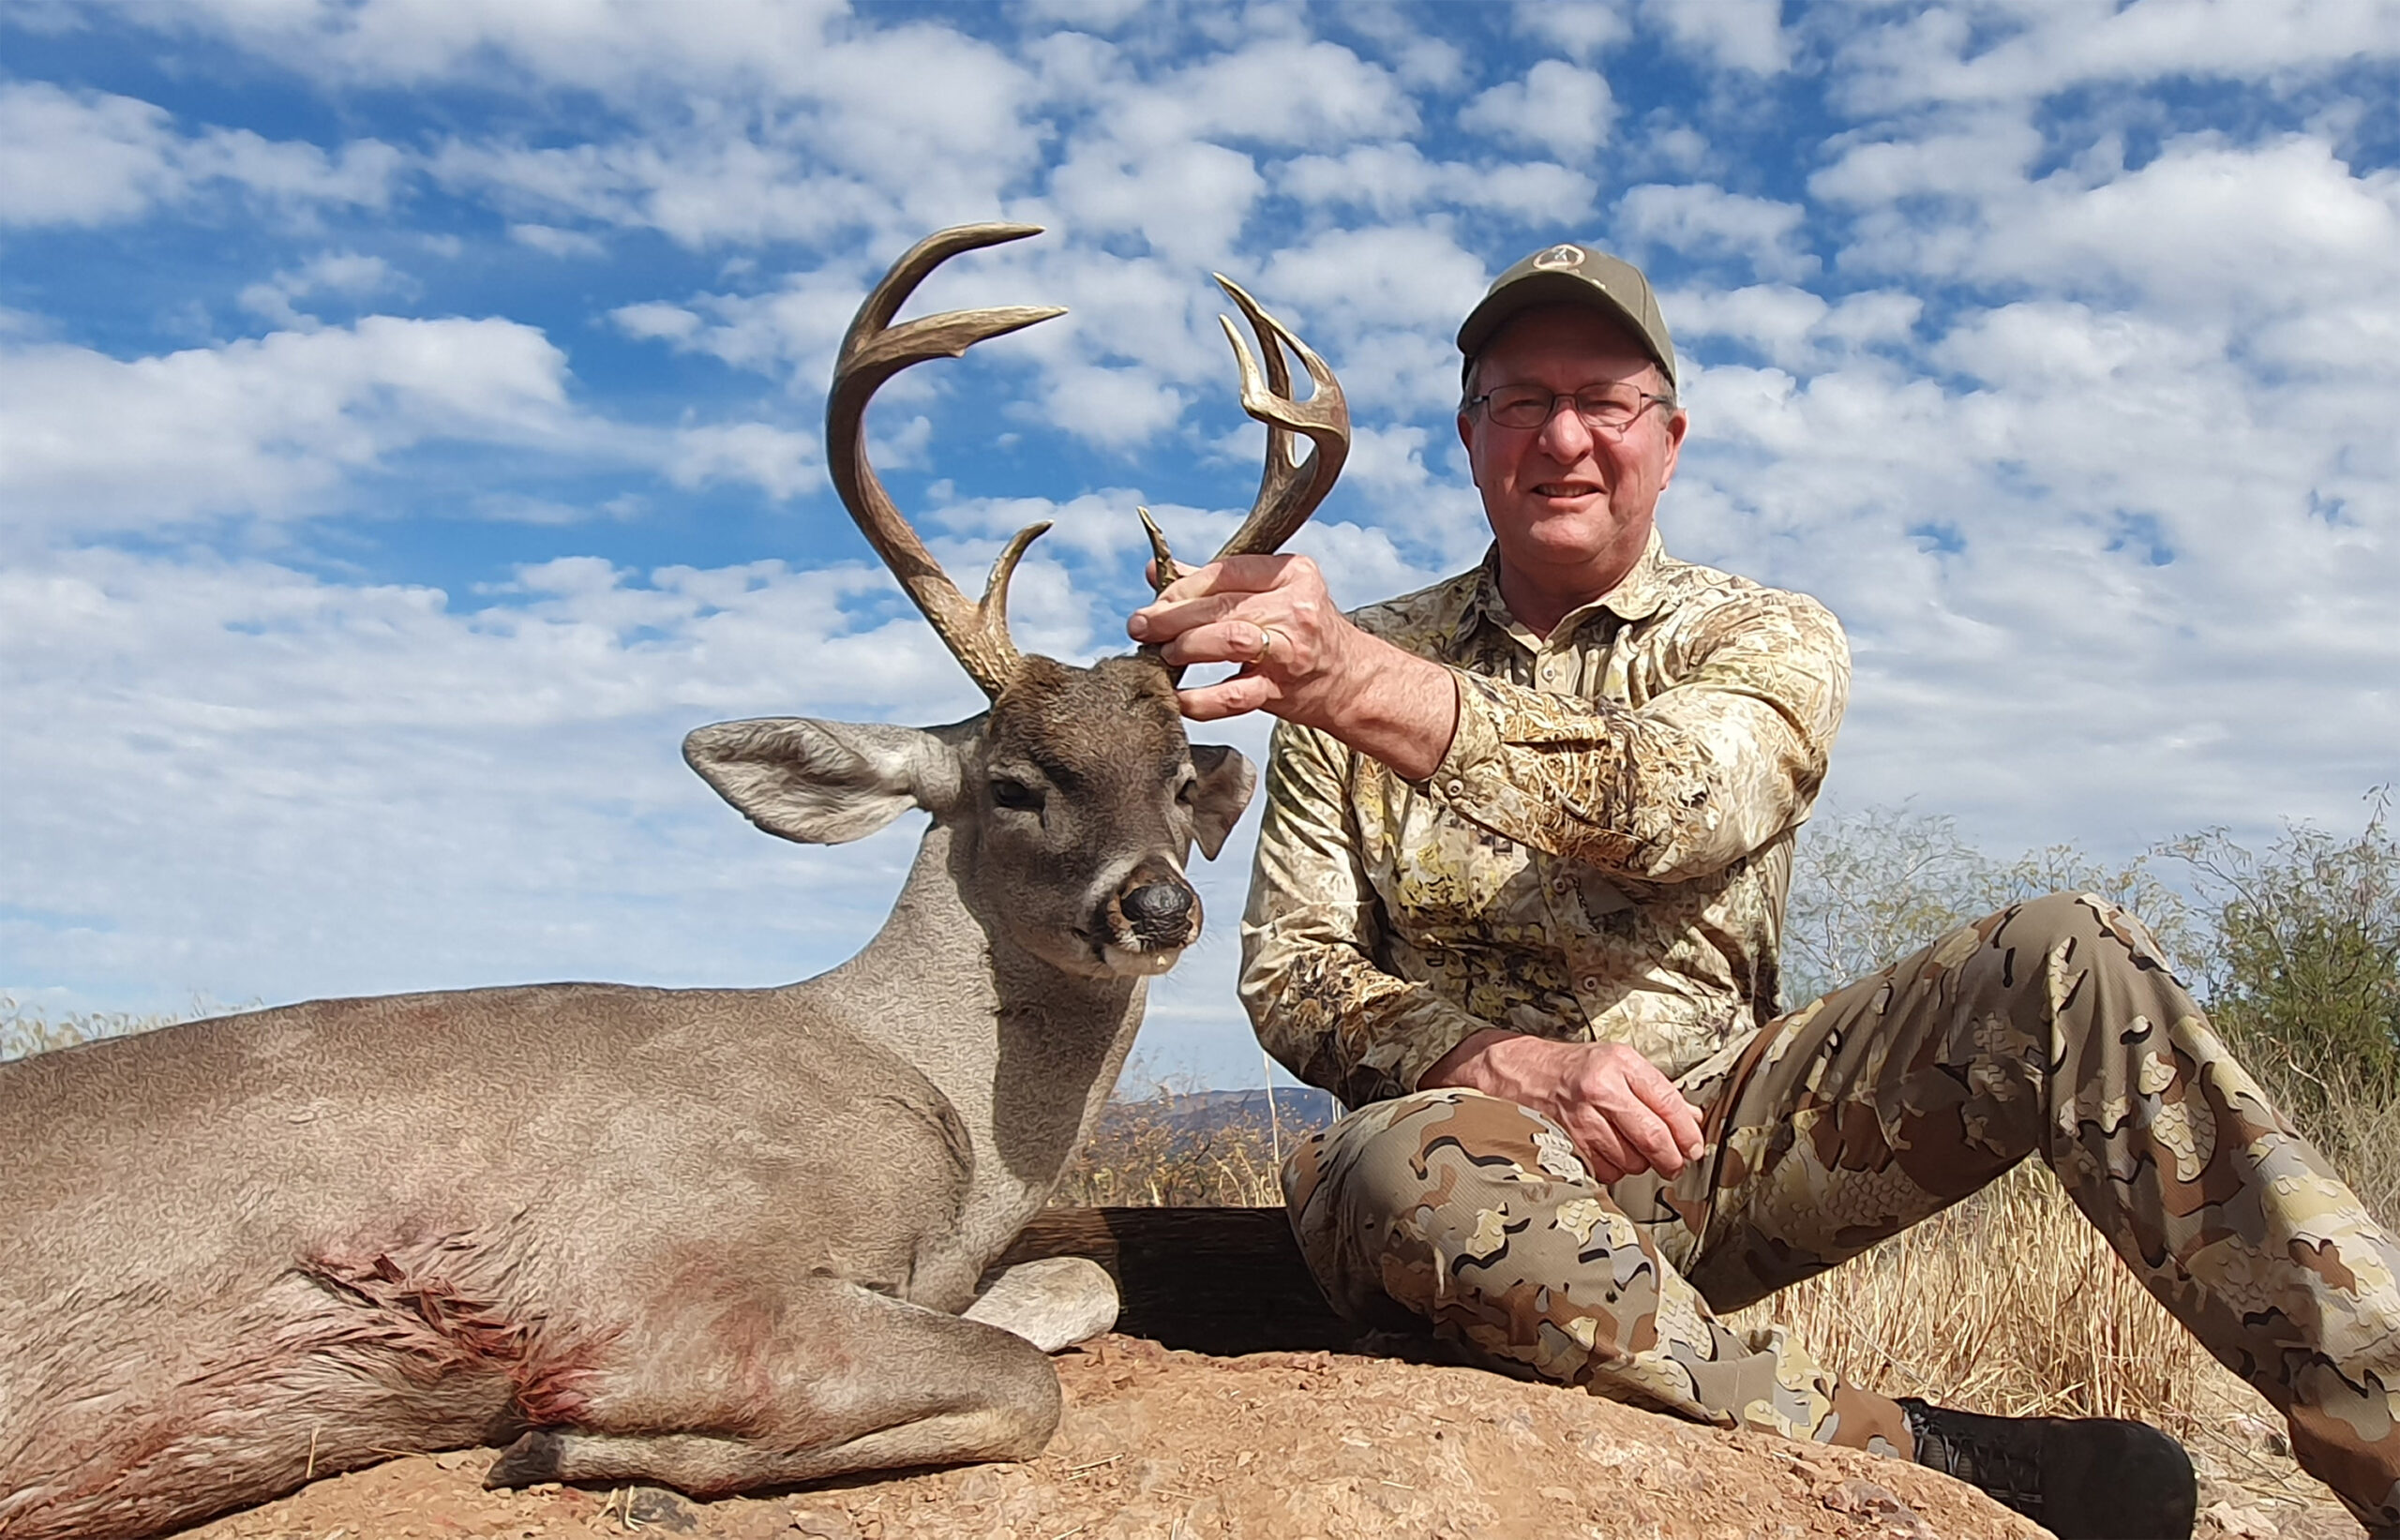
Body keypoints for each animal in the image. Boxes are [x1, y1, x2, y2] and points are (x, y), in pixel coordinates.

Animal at [0, 223, 1349, 1540]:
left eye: (1180, 779)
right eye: (1014, 783)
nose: (1158, 904)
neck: (920, 1088)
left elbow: (1081, 1286)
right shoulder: (660, 1287)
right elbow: (1026, 1382)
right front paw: (566, 1444)